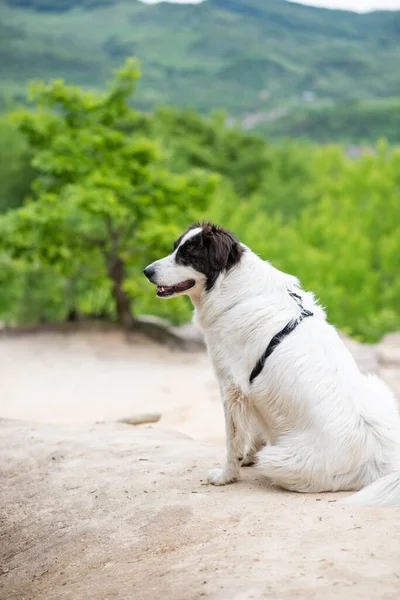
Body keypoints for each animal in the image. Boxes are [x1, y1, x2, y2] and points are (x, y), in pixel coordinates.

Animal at [145, 223, 400, 504]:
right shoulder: (253, 391)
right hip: (377, 387)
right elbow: (254, 431)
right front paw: (246, 459)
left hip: (275, 459)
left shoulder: (231, 388)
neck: (232, 287)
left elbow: (233, 439)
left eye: (187, 255)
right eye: (175, 248)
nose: (146, 271)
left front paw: (226, 475)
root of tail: (382, 465)